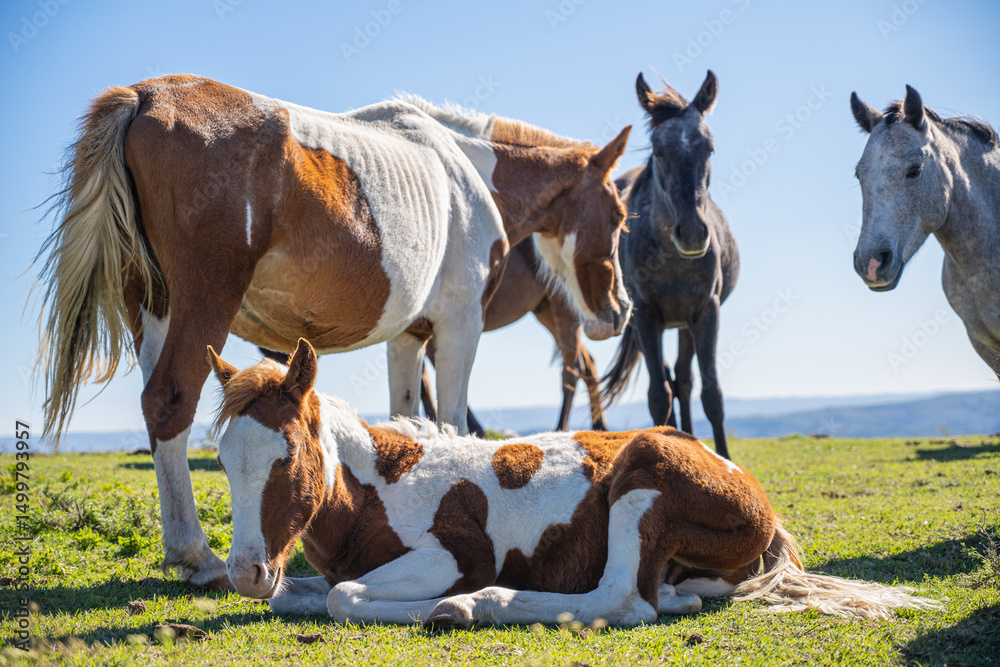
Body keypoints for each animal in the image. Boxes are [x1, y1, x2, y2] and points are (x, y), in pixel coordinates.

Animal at [34, 73, 622, 590]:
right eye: (619, 215)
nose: (616, 313)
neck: (461, 167)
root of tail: (146, 96)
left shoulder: (409, 337)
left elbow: (408, 415)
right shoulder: (461, 324)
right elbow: (453, 420)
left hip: (153, 306)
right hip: (205, 302)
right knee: (170, 401)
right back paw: (195, 556)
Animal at [207, 338, 937, 627]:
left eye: (286, 457)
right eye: (223, 458)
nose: (244, 571)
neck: (378, 490)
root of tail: (754, 491)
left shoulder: (454, 553)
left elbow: (344, 597)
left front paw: (446, 603)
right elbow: (304, 594)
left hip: (642, 482)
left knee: (624, 600)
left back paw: (475, 606)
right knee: (663, 594)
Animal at [602, 71, 739, 459]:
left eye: (709, 148)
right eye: (660, 151)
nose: (692, 233)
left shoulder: (706, 311)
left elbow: (712, 395)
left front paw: (724, 459)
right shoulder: (647, 316)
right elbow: (658, 396)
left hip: (683, 324)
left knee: (683, 379)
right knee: (668, 379)